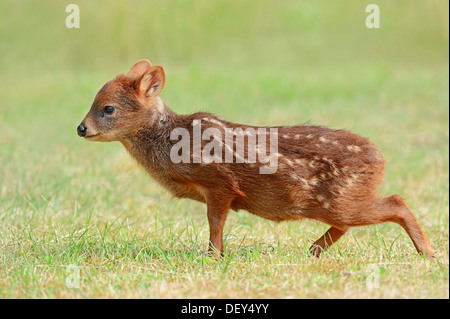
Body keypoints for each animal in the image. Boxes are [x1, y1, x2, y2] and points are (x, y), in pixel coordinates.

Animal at [76, 60, 432, 260]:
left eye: (108, 108)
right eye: (94, 102)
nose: (81, 128)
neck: (171, 143)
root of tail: (380, 159)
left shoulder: (220, 182)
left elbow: (215, 222)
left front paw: (213, 256)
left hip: (339, 200)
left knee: (395, 202)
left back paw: (427, 252)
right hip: (339, 201)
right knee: (351, 221)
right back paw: (314, 250)